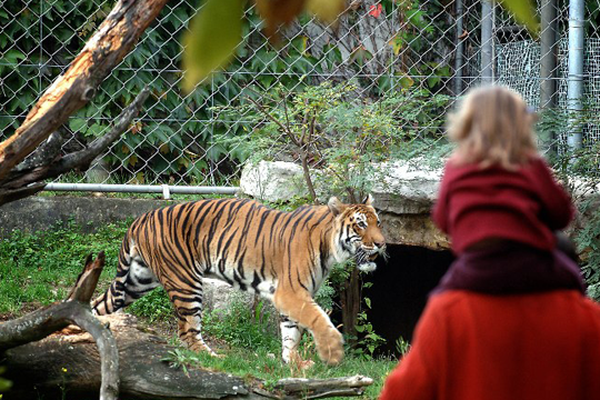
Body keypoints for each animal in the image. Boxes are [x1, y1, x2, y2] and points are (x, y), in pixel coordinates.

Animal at [92, 195, 386, 366]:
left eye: (378, 223)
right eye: (360, 224)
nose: (382, 244)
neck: (330, 247)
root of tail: (141, 218)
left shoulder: (292, 296)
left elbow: (291, 332)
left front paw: (293, 362)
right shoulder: (291, 293)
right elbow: (317, 319)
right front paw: (332, 352)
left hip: (137, 281)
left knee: (98, 304)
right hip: (185, 282)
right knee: (187, 331)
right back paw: (213, 357)